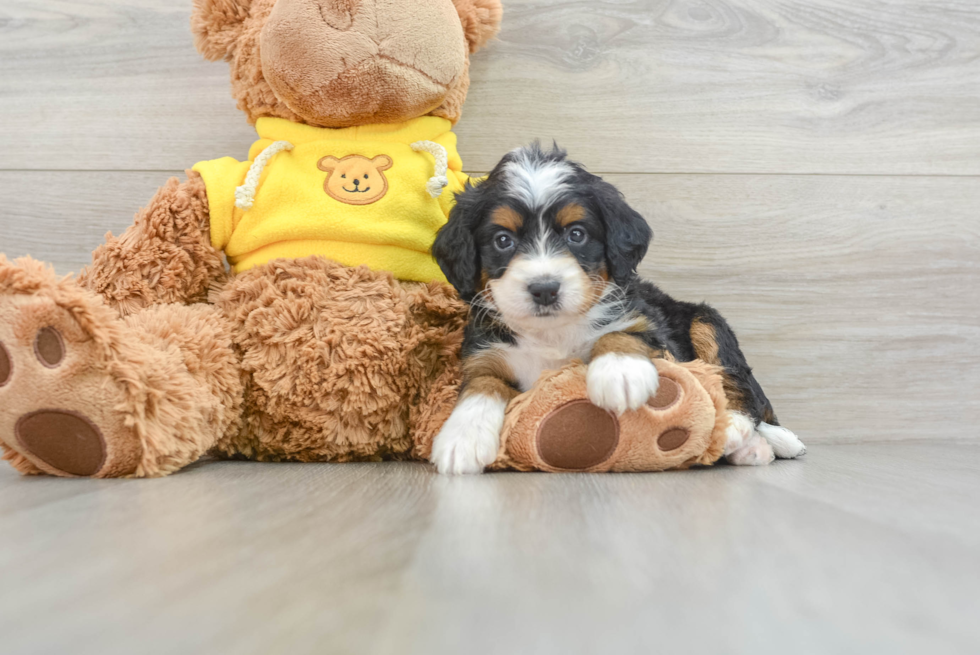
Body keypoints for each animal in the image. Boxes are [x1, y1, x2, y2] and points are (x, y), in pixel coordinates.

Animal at [428, 144, 804, 474]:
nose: (544, 289)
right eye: (502, 240)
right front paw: (462, 438)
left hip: (705, 320)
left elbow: (623, 332)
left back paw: (747, 433)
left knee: (740, 384)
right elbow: (482, 384)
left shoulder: (649, 322)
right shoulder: (485, 352)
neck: (552, 333)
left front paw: (620, 371)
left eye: (577, 234)